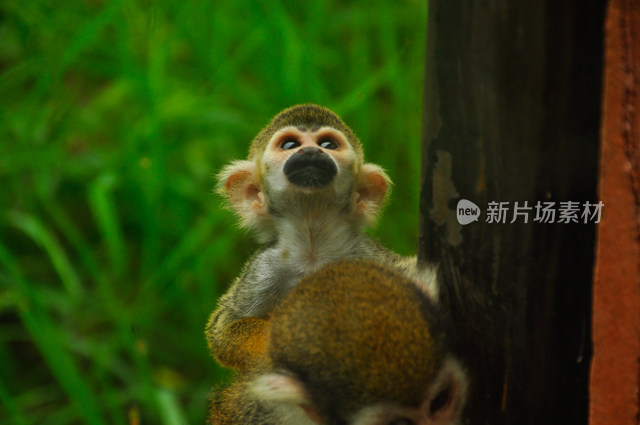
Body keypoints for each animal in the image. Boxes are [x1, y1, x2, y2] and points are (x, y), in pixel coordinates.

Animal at [208, 103, 438, 368]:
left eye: (328, 144)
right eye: (289, 144)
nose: (310, 151)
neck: (313, 249)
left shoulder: (366, 256)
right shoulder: (264, 268)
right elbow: (223, 330)